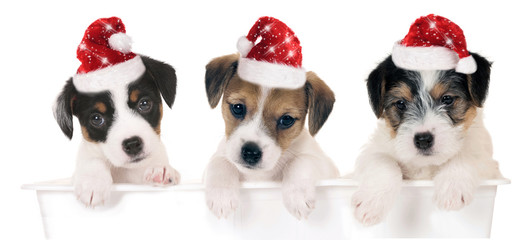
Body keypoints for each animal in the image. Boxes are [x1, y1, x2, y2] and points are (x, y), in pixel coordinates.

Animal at [53, 17, 179, 207]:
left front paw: (161, 169)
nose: (133, 144)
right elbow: (92, 160)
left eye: (144, 104)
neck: (126, 171)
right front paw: (93, 182)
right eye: (96, 119)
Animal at [202, 16, 338, 219]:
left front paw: (297, 195)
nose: (250, 152)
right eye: (238, 108)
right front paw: (221, 196)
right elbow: (219, 161)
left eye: (287, 119)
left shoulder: (324, 166)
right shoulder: (221, 156)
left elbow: (301, 161)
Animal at [350, 14, 500, 227]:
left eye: (447, 99)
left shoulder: (489, 165)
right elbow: (383, 161)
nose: (423, 140)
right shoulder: (372, 152)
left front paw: (452, 188)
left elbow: (467, 153)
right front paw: (372, 203)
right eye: (401, 103)